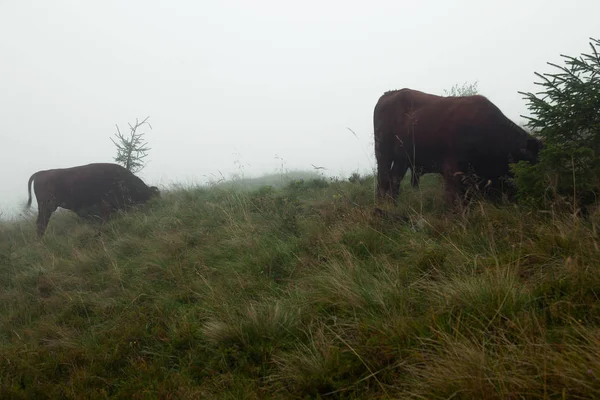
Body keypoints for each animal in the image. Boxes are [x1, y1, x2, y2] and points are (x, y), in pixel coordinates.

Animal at [372, 88, 540, 206]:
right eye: (532, 162)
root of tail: (388, 94)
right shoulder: (452, 171)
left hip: (402, 160)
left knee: (394, 179)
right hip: (383, 154)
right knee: (384, 180)